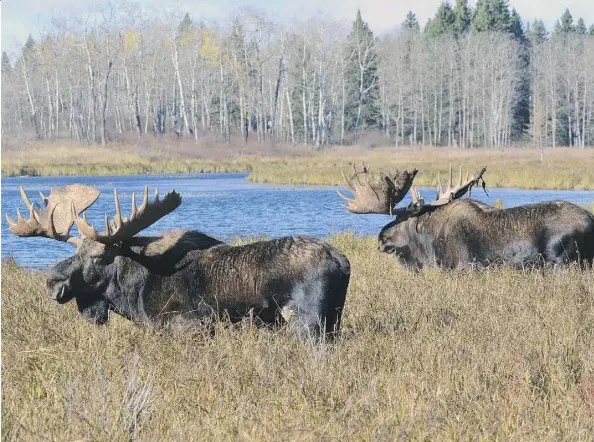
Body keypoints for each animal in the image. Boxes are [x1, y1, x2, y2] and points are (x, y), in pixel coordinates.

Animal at [6, 183, 350, 338]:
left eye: (99, 256)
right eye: (75, 252)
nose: (52, 282)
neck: (133, 291)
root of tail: (342, 263)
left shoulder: (185, 326)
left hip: (307, 323)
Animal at [338, 163, 592, 270]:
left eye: (399, 219)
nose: (381, 239)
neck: (426, 243)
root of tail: (592, 221)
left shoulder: (462, 267)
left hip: (559, 260)